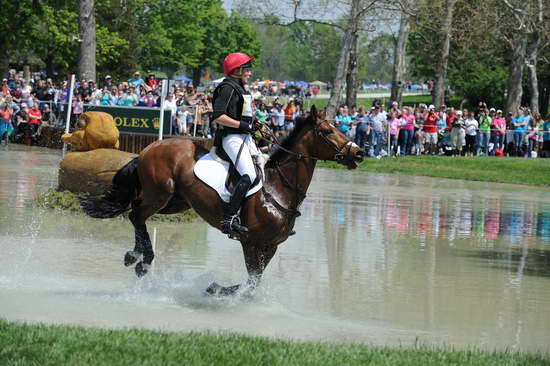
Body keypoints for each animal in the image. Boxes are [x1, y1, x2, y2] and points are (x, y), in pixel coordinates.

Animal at [82, 105, 364, 294]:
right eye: (327, 131)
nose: (359, 153)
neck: (278, 189)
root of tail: (147, 149)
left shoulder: (270, 246)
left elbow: (254, 282)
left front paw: (220, 289)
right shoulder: (251, 242)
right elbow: (251, 281)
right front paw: (217, 289)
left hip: (175, 202)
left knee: (135, 214)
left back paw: (137, 256)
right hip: (159, 194)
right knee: (136, 214)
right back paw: (141, 259)